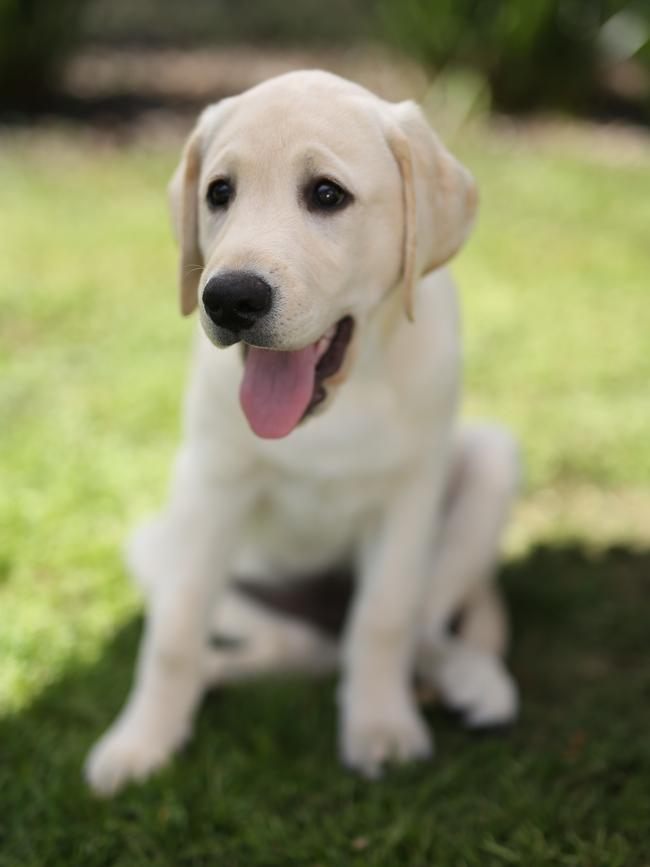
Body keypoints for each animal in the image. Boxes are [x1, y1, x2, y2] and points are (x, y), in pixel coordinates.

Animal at [86, 71, 520, 796]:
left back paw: (471, 680)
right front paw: (141, 742)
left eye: (326, 194)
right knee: (298, 645)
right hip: (162, 546)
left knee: (419, 624)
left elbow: (385, 619)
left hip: (491, 464)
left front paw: (381, 729)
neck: (337, 402)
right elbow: (175, 630)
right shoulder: (208, 489)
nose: (228, 298)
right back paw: (220, 675)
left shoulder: (409, 496)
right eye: (219, 193)